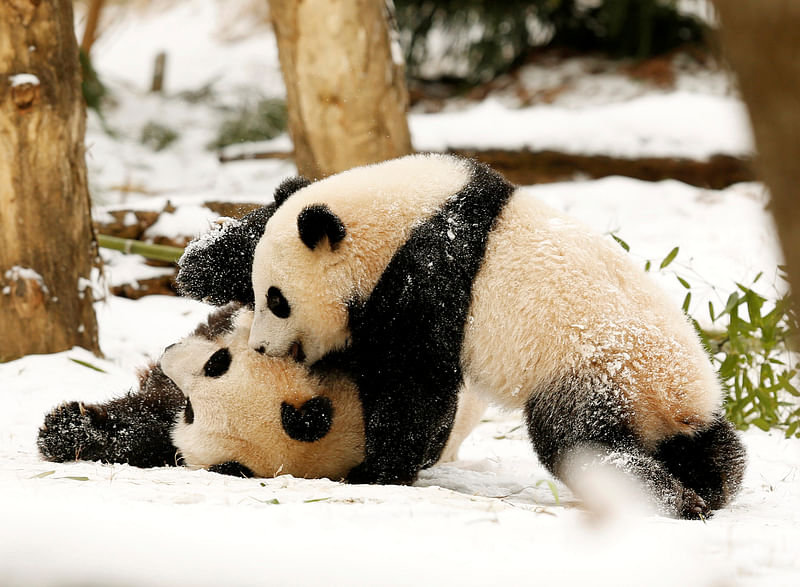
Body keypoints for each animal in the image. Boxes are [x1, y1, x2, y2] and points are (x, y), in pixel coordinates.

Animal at [178, 153, 748, 520]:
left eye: (278, 300)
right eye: (259, 292)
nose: (260, 347)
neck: (402, 219)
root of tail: (674, 399)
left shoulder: (428, 279)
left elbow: (414, 383)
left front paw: (379, 468)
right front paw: (198, 262)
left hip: (592, 371)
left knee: (581, 442)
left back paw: (675, 500)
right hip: (666, 400)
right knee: (713, 449)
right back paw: (709, 486)